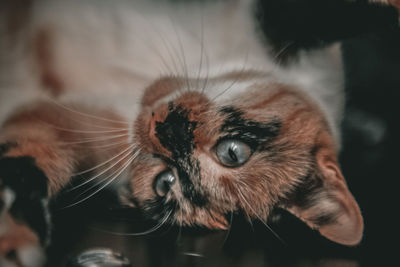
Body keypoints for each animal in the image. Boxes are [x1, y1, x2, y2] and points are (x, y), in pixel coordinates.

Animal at [0, 0, 396, 266]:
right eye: (233, 152)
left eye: (166, 182)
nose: (159, 131)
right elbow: (336, 14)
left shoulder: (70, 124)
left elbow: (24, 157)